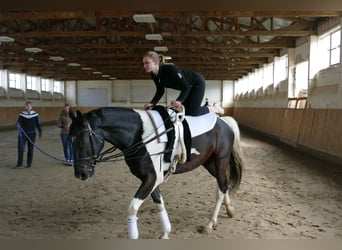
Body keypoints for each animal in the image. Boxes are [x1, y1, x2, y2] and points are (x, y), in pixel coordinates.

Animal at [69, 105, 244, 238]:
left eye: (82, 140)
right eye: (70, 139)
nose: (80, 174)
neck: (140, 135)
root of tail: (224, 122)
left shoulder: (151, 178)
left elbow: (132, 208)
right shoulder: (151, 179)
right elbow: (159, 203)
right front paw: (166, 232)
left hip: (220, 160)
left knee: (221, 187)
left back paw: (209, 224)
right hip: (209, 163)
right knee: (224, 184)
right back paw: (230, 210)